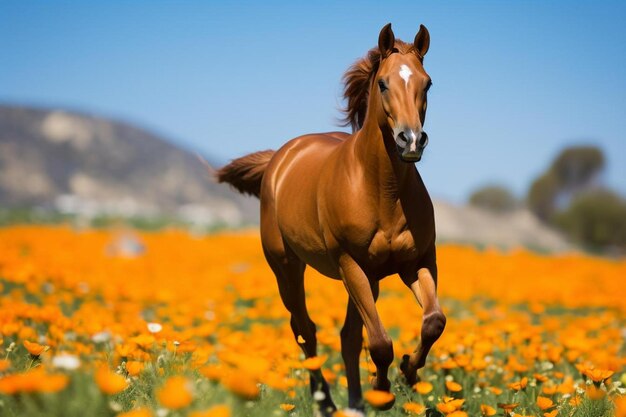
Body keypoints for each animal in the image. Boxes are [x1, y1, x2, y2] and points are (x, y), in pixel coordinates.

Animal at [217, 23, 446, 416]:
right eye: (383, 83)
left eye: (427, 83)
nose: (411, 140)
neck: (382, 191)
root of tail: (279, 158)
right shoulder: (349, 263)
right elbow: (379, 342)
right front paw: (383, 393)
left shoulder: (416, 262)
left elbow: (433, 322)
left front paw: (408, 373)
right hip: (289, 268)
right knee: (304, 329)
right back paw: (326, 401)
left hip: (368, 279)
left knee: (348, 337)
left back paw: (355, 403)